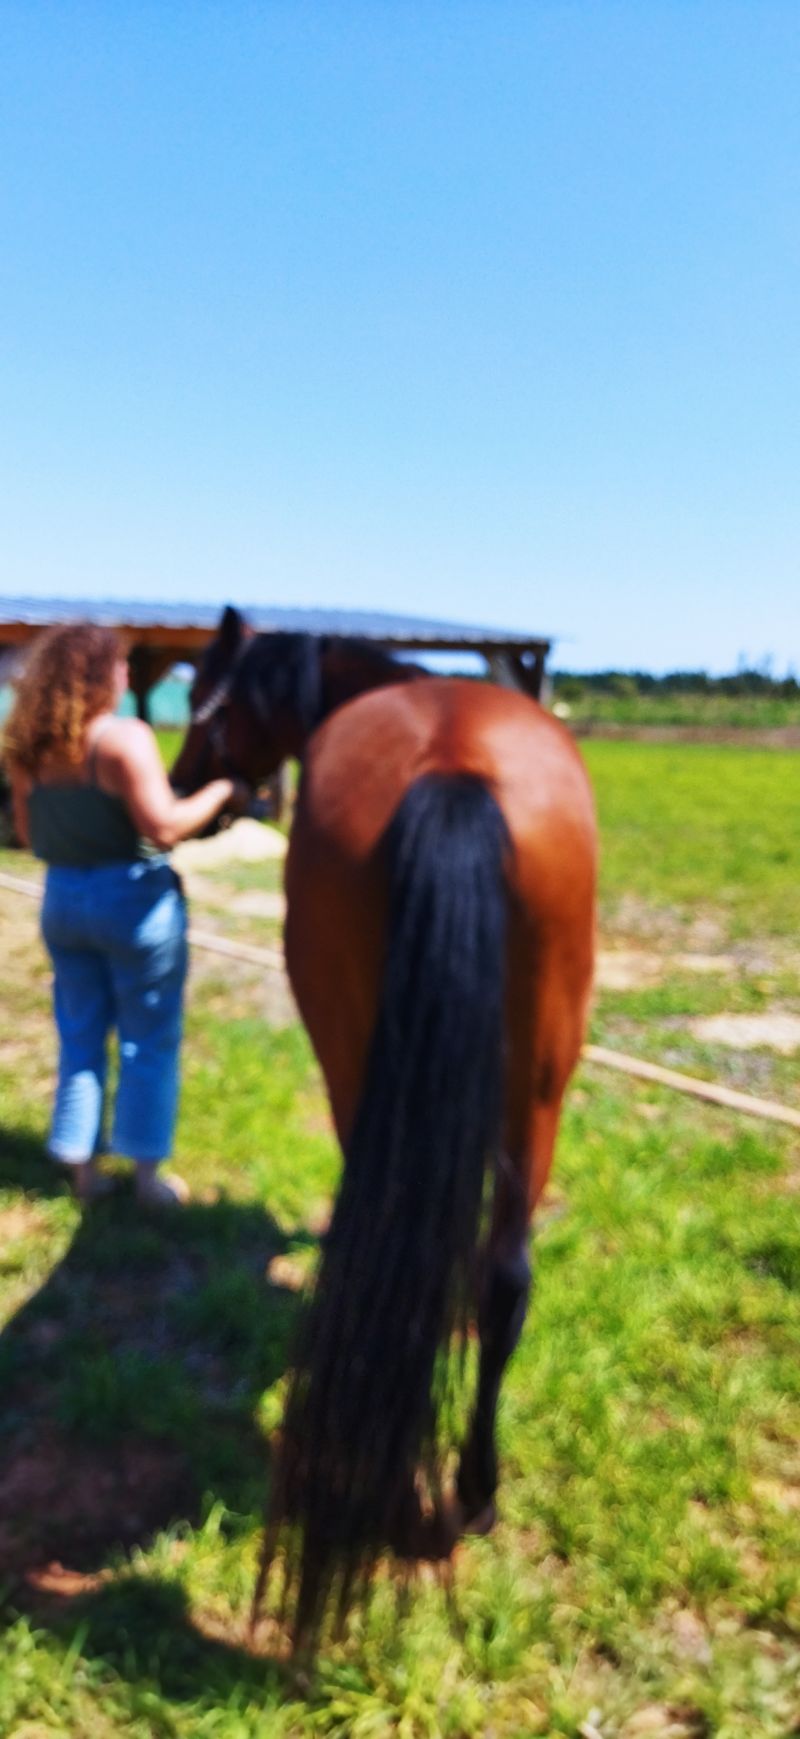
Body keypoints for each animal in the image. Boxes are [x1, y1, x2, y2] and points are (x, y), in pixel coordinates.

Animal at [170, 605, 594, 1634]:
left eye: (206, 694)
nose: (182, 782)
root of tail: (456, 771)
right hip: (539, 1089)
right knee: (503, 1276)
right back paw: (472, 1493)